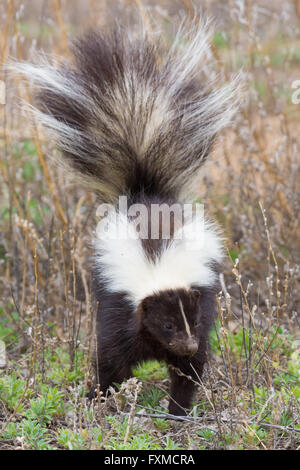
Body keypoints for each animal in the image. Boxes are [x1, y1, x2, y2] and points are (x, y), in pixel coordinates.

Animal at [13, 18, 239, 414]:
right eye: (167, 326)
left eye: (193, 321)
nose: (187, 343)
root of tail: (145, 192)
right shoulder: (119, 311)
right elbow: (110, 360)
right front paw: (98, 397)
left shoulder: (199, 301)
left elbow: (188, 371)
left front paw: (178, 411)